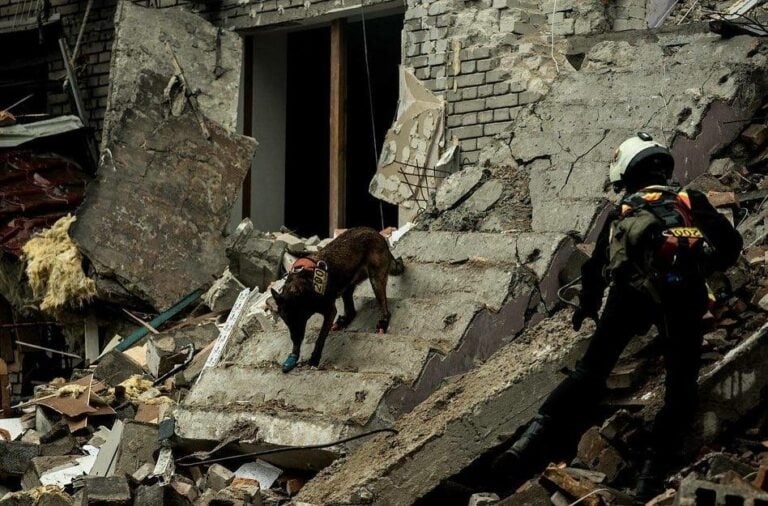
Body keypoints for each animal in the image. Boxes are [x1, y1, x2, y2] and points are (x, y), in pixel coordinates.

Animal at [270, 226, 405, 373]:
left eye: (297, 317)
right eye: (286, 321)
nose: (295, 339)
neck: (307, 285)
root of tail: (374, 232)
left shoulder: (329, 311)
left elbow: (320, 337)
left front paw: (314, 358)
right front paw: (294, 356)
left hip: (376, 279)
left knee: (385, 309)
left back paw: (382, 323)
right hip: (348, 285)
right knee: (351, 311)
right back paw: (343, 321)